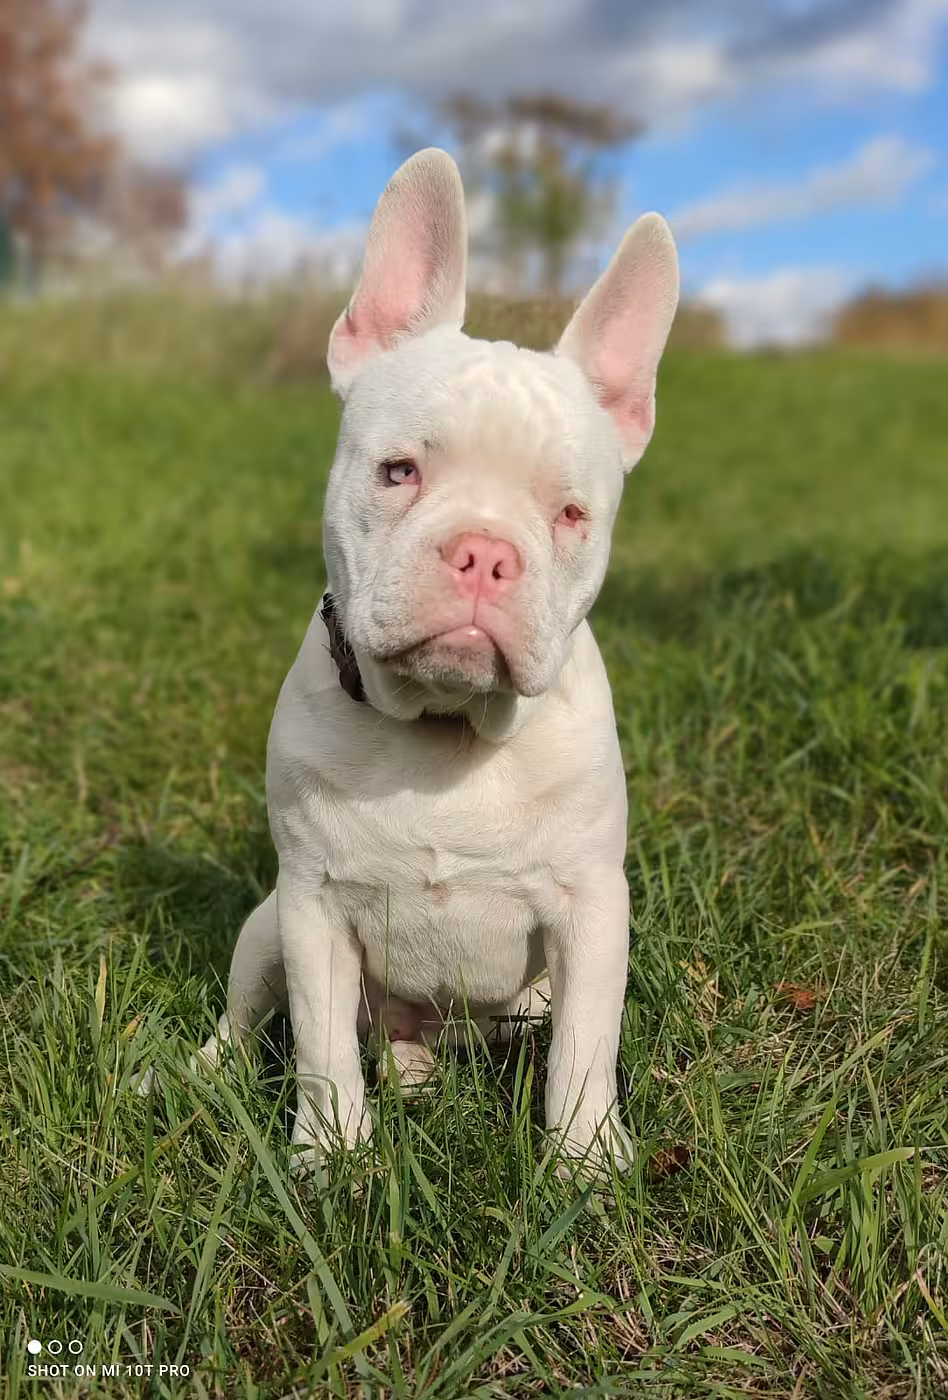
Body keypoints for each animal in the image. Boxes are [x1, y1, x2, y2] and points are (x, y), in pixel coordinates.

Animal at [146, 148, 679, 1175]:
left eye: (570, 515)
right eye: (399, 472)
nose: (484, 552)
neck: (443, 731)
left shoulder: (592, 909)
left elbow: (587, 1045)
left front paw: (585, 1161)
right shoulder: (312, 905)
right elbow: (318, 1043)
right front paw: (329, 1157)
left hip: (516, 1002)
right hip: (266, 924)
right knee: (252, 1016)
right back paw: (197, 1074)